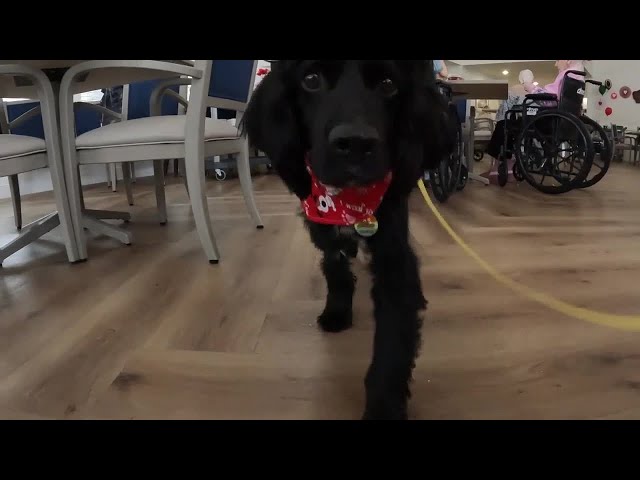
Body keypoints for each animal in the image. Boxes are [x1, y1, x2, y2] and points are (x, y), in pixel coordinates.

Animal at [241, 61, 450, 420]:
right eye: (310, 80)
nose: (355, 144)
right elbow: (335, 267)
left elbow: (393, 345)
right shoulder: (321, 224)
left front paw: (383, 408)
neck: (349, 201)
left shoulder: (396, 257)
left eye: (388, 84)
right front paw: (337, 310)